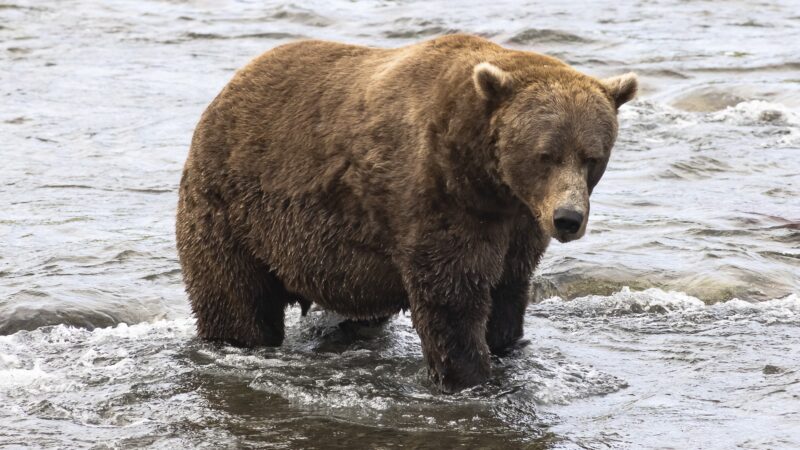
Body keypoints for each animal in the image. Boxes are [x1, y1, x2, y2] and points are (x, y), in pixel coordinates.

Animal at [176, 34, 637, 393]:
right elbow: (452, 295)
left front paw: (505, 346)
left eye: (592, 157)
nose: (567, 218)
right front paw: (470, 376)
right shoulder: (439, 198)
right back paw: (237, 341)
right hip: (234, 210)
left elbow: (507, 291)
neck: (489, 181)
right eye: (546, 155)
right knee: (235, 298)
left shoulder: (518, 226)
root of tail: (227, 89)